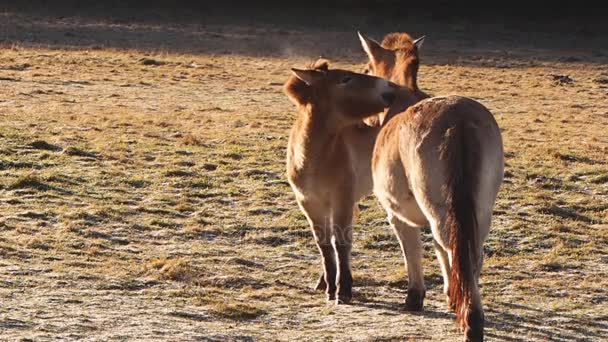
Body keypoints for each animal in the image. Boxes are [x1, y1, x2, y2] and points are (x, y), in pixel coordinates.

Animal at [282, 60, 396, 304]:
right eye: (345, 79)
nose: (389, 89)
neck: (315, 158)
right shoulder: (310, 203)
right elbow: (324, 244)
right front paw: (328, 285)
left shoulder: (341, 199)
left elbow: (341, 242)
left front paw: (343, 289)